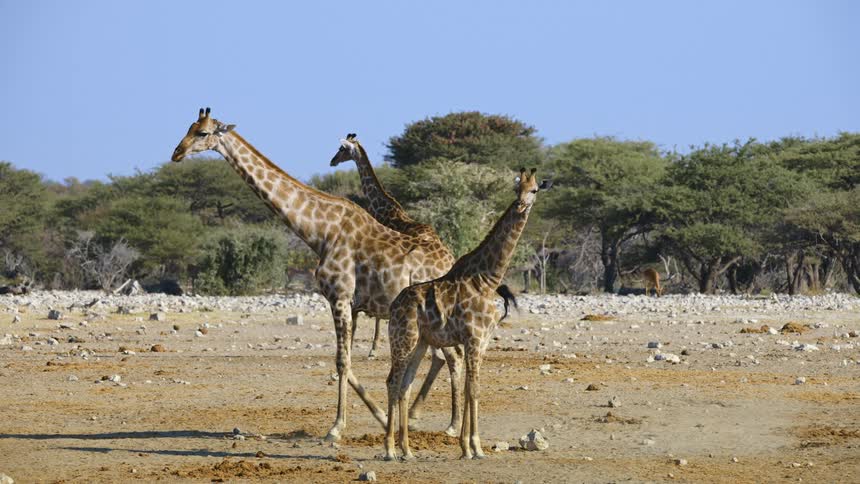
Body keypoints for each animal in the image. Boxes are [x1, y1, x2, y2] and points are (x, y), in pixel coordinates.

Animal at [171, 108, 453, 441]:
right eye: (189, 127)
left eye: (202, 133)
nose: (177, 153)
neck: (320, 232)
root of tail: (450, 260)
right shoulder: (349, 304)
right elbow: (346, 361)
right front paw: (383, 417)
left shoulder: (340, 297)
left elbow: (342, 362)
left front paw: (336, 428)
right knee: (447, 358)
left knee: (453, 358)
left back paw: (450, 426)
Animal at [384, 168, 551, 461]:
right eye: (517, 189)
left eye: (534, 190)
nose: (521, 205)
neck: (487, 279)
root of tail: (394, 306)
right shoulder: (473, 338)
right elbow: (473, 389)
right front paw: (475, 447)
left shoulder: (482, 341)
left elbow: (469, 388)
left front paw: (467, 447)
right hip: (404, 338)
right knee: (393, 382)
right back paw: (390, 450)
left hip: (420, 343)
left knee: (404, 385)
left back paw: (407, 451)